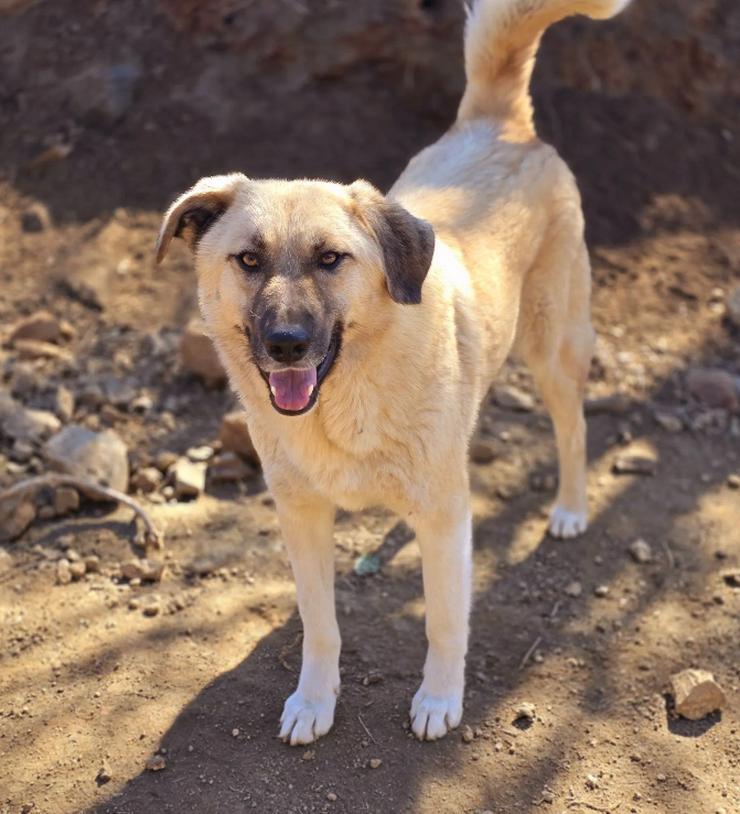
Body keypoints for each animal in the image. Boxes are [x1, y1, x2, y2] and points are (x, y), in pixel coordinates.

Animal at [156, 0, 632, 744]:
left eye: (330, 259)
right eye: (248, 260)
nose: (287, 345)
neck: (346, 399)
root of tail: (497, 122)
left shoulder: (444, 516)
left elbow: (444, 621)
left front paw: (438, 699)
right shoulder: (302, 514)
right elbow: (321, 625)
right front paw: (314, 700)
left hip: (553, 347)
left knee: (574, 429)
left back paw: (571, 509)